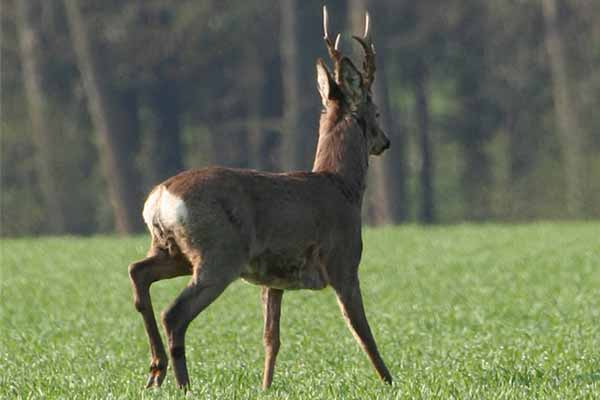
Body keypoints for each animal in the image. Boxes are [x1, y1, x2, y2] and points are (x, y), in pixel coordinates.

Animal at [127, 5, 394, 390]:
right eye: (376, 111)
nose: (385, 141)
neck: (343, 187)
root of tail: (160, 198)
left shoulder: (273, 278)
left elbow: (271, 339)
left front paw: (265, 386)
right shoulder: (344, 261)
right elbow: (363, 331)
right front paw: (390, 381)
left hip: (172, 250)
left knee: (139, 273)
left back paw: (156, 371)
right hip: (218, 254)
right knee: (174, 313)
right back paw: (182, 383)